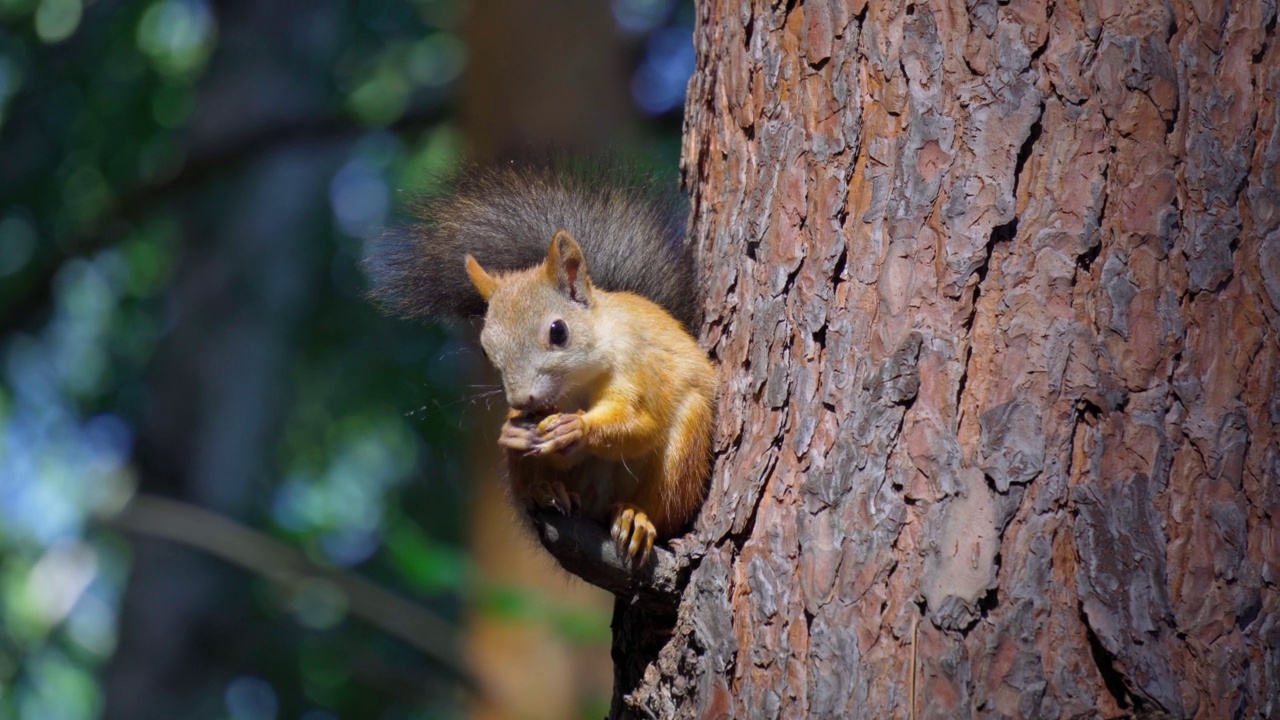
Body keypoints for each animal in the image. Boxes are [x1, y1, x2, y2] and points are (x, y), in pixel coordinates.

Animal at [366, 161, 716, 561]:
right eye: (485, 349)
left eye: (558, 332)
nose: (521, 401)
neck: (578, 383)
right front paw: (516, 431)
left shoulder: (637, 366)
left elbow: (640, 423)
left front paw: (577, 428)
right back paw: (545, 490)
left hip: (685, 449)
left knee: (663, 504)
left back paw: (636, 518)